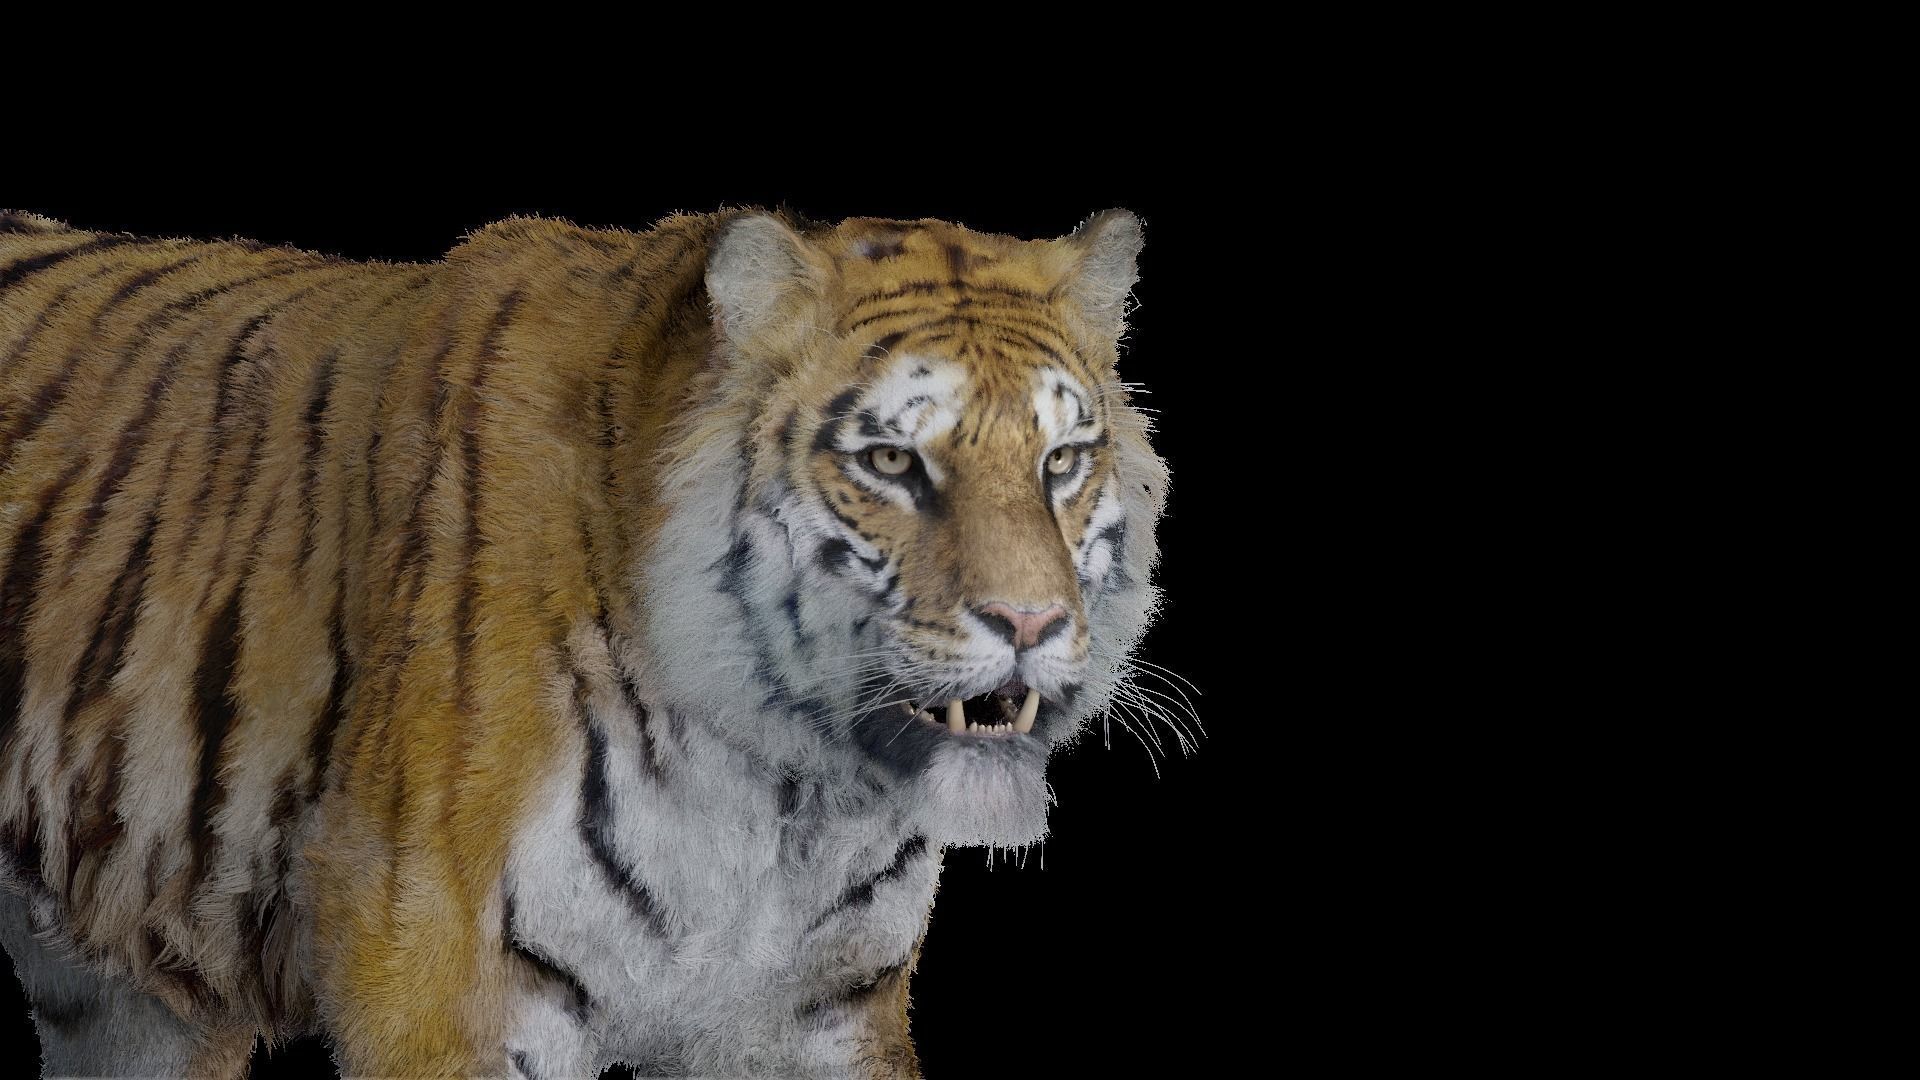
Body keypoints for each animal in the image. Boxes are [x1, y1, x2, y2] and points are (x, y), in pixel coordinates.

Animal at [0, 205, 1170, 1078]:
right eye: (890, 462)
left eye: (1062, 461)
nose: (1032, 624)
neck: (785, 790)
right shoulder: (435, 990)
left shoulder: (816, 1016)